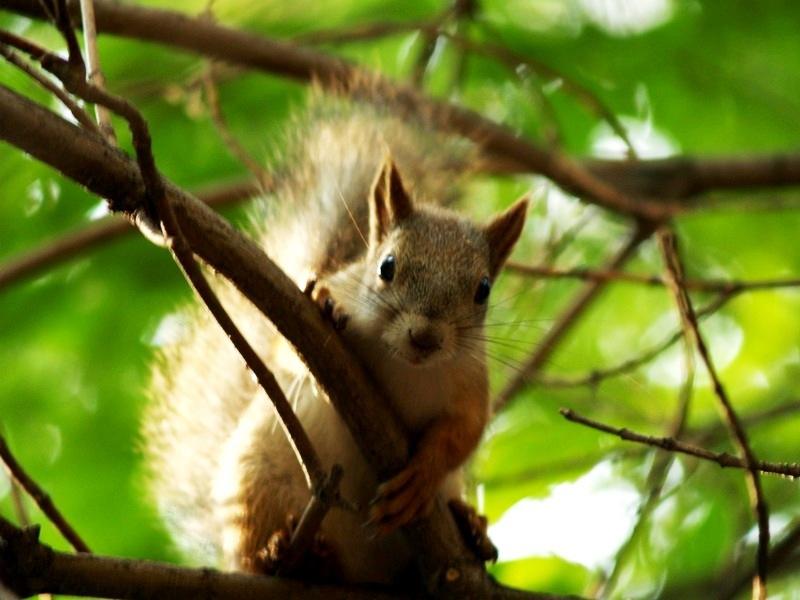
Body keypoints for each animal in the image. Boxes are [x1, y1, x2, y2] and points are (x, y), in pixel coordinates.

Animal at [141, 96, 528, 584]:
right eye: (386, 267)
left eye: (483, 290)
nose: (424, 338)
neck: (404, 365)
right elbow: (288, 349)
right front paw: (326, 309)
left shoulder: (469, 381)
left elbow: (464, 432)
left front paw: (423, 475)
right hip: (259, 481)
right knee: (259, 543)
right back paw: (285, 553)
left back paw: (469, 525)